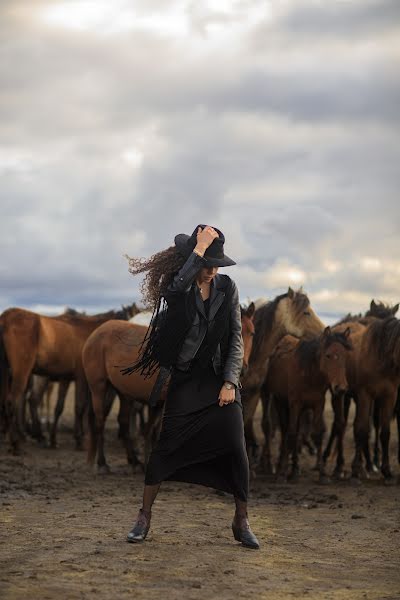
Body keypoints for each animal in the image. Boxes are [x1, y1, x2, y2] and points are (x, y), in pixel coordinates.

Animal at [0, 302, 138, 452]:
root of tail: (5, 318)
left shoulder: (65, 378)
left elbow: (60, 407)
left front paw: (54, 439)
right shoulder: (82, 378)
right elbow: (80, 406)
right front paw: (79, 439)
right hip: (22, 372)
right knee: (14, 402)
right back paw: (17, 442)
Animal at [83, 304, 256, 474]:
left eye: (252, 333)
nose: (242, 370)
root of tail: (96, 333)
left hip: (123, 392)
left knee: (124, 423)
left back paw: (134, 462)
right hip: (99, 388)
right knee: (100, 422)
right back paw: (102, 464)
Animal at [264, 328, 352, 482]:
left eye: (345, 356)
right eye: (328, 355)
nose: (340, 388)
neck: (309, 374)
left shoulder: (318, 404)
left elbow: (316, 434)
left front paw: (322, 474)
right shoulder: (295, 404)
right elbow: (291, 434)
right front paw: (282, 473)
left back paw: (295, 468)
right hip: (280, 402)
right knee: (286, 431)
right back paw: (284, 466)